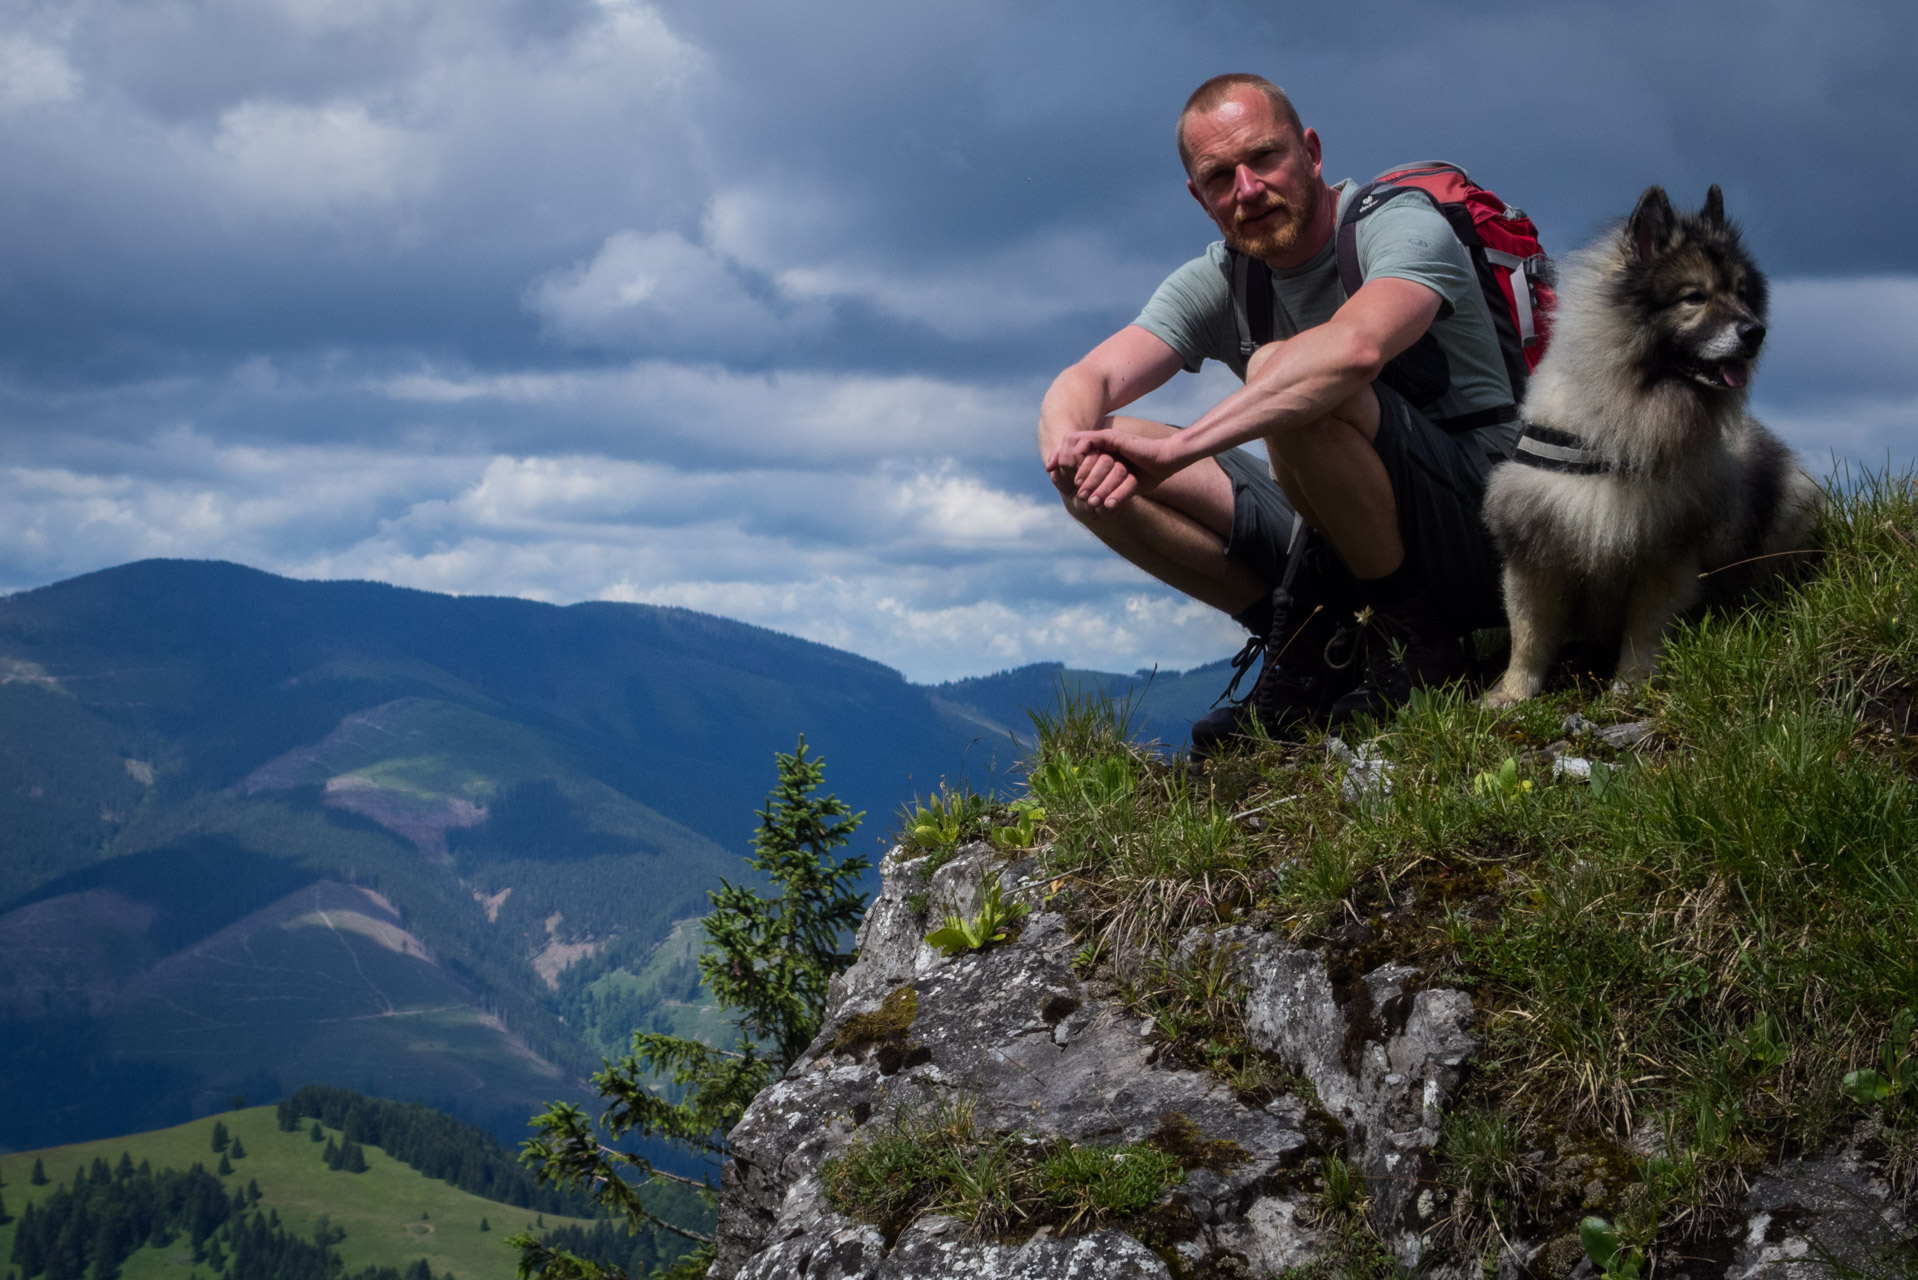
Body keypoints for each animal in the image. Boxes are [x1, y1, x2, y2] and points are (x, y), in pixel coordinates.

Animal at [1480, 185, 1825, 706]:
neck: (1625, 415)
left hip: (1790, 503)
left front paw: (1631, 688)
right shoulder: (1537, 549)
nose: (1755, 331)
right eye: (1694, 297)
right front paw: (1511, 695)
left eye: (1742, 294)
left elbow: (1644, 632)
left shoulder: (1663, 554)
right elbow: (1529, 636)